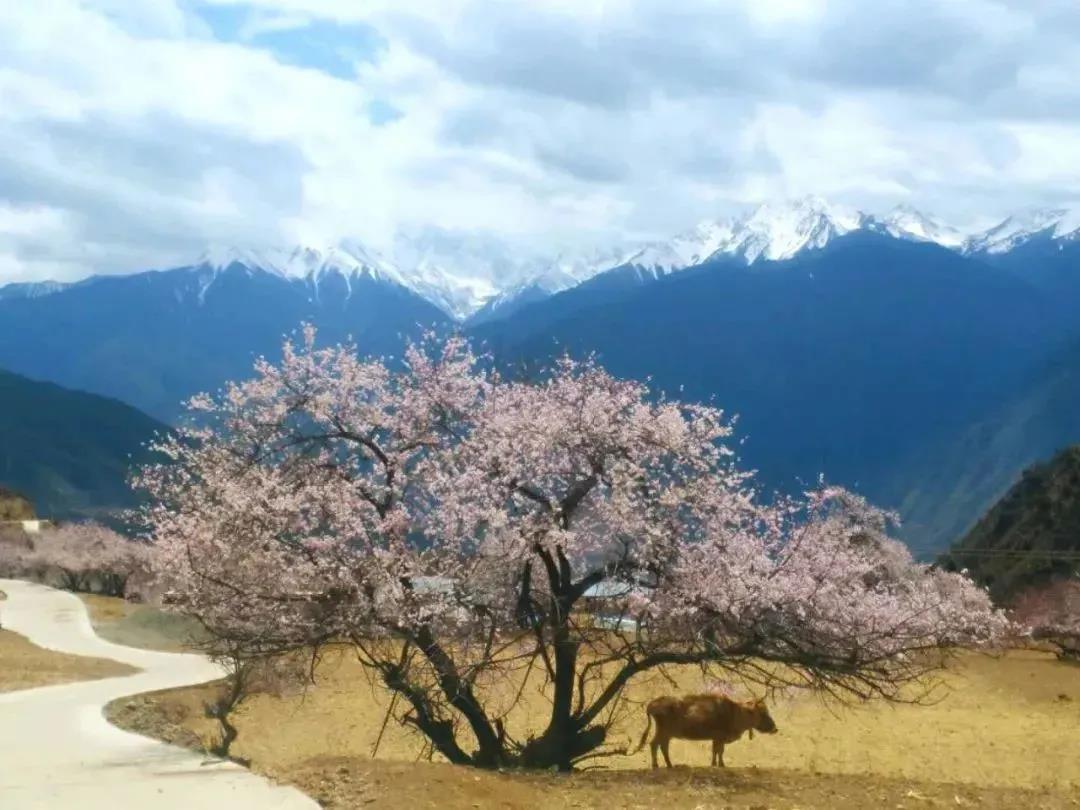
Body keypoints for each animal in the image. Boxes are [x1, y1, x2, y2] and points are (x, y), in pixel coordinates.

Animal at [630, 695, 777, 768]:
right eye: (762, 713)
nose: (775, 728)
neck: (735, 712)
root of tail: (652, 704)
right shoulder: (719, 738)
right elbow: (719, 751)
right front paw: (721, 764)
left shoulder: (716, 739)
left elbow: (716, 751)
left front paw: (715, 764)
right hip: (664, 732)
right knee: (655, 745)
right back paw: (658, 765)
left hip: (666, 734)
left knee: (661, 746)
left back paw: (669, 765)